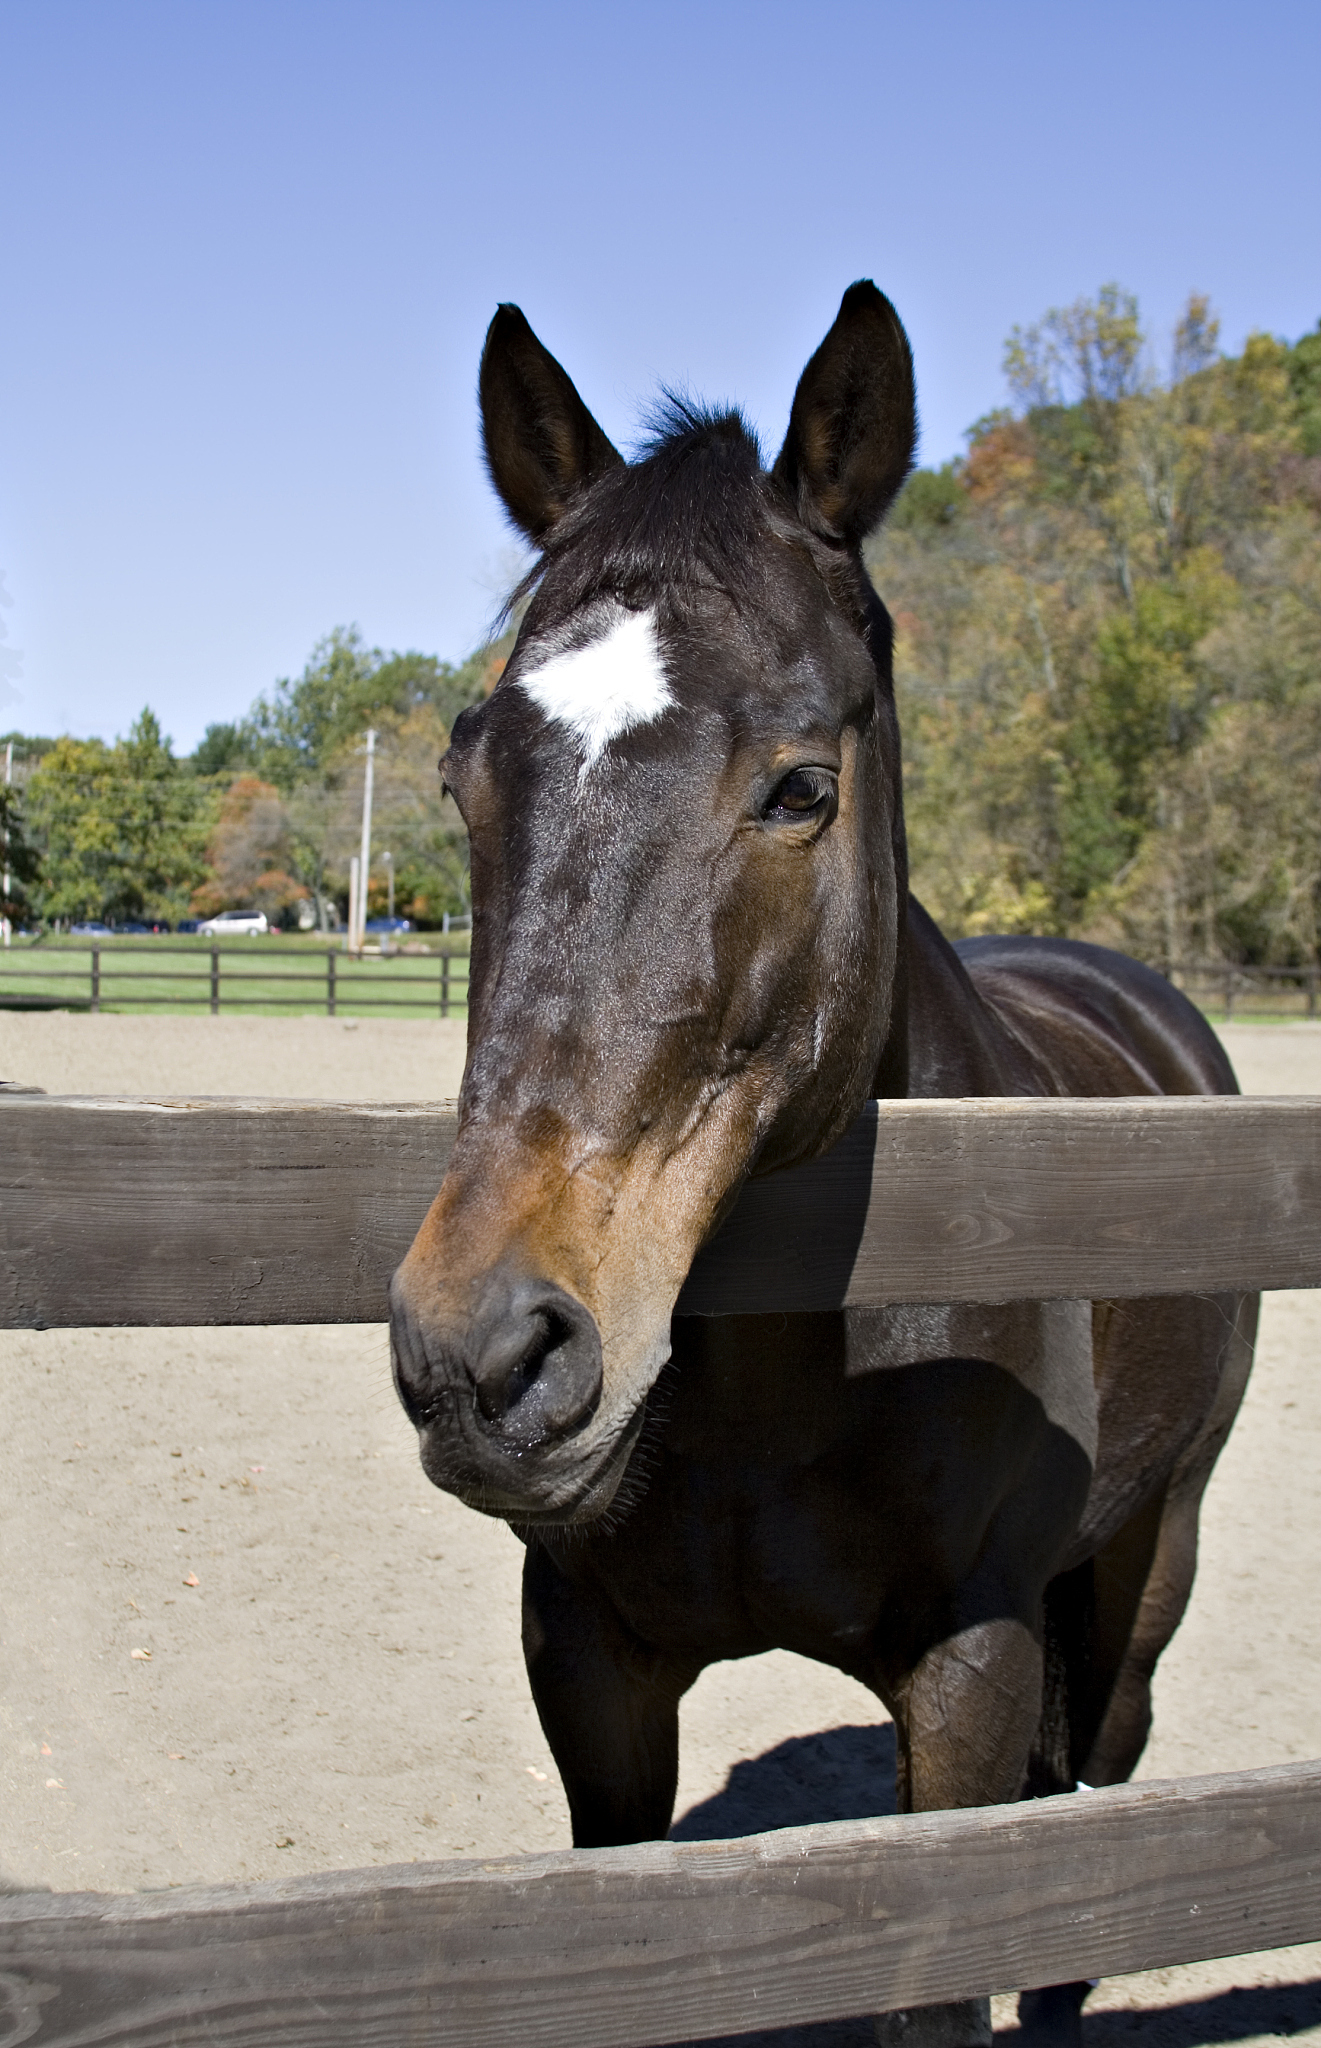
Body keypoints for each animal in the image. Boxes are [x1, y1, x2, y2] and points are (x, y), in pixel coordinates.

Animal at [389, 283, 1257, 2047]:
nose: (485, 1355)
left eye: (802, 785)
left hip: (1154, 1549)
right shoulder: (590, 1672)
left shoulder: (972, 1675)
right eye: (464, 776)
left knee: (1090, 1830)